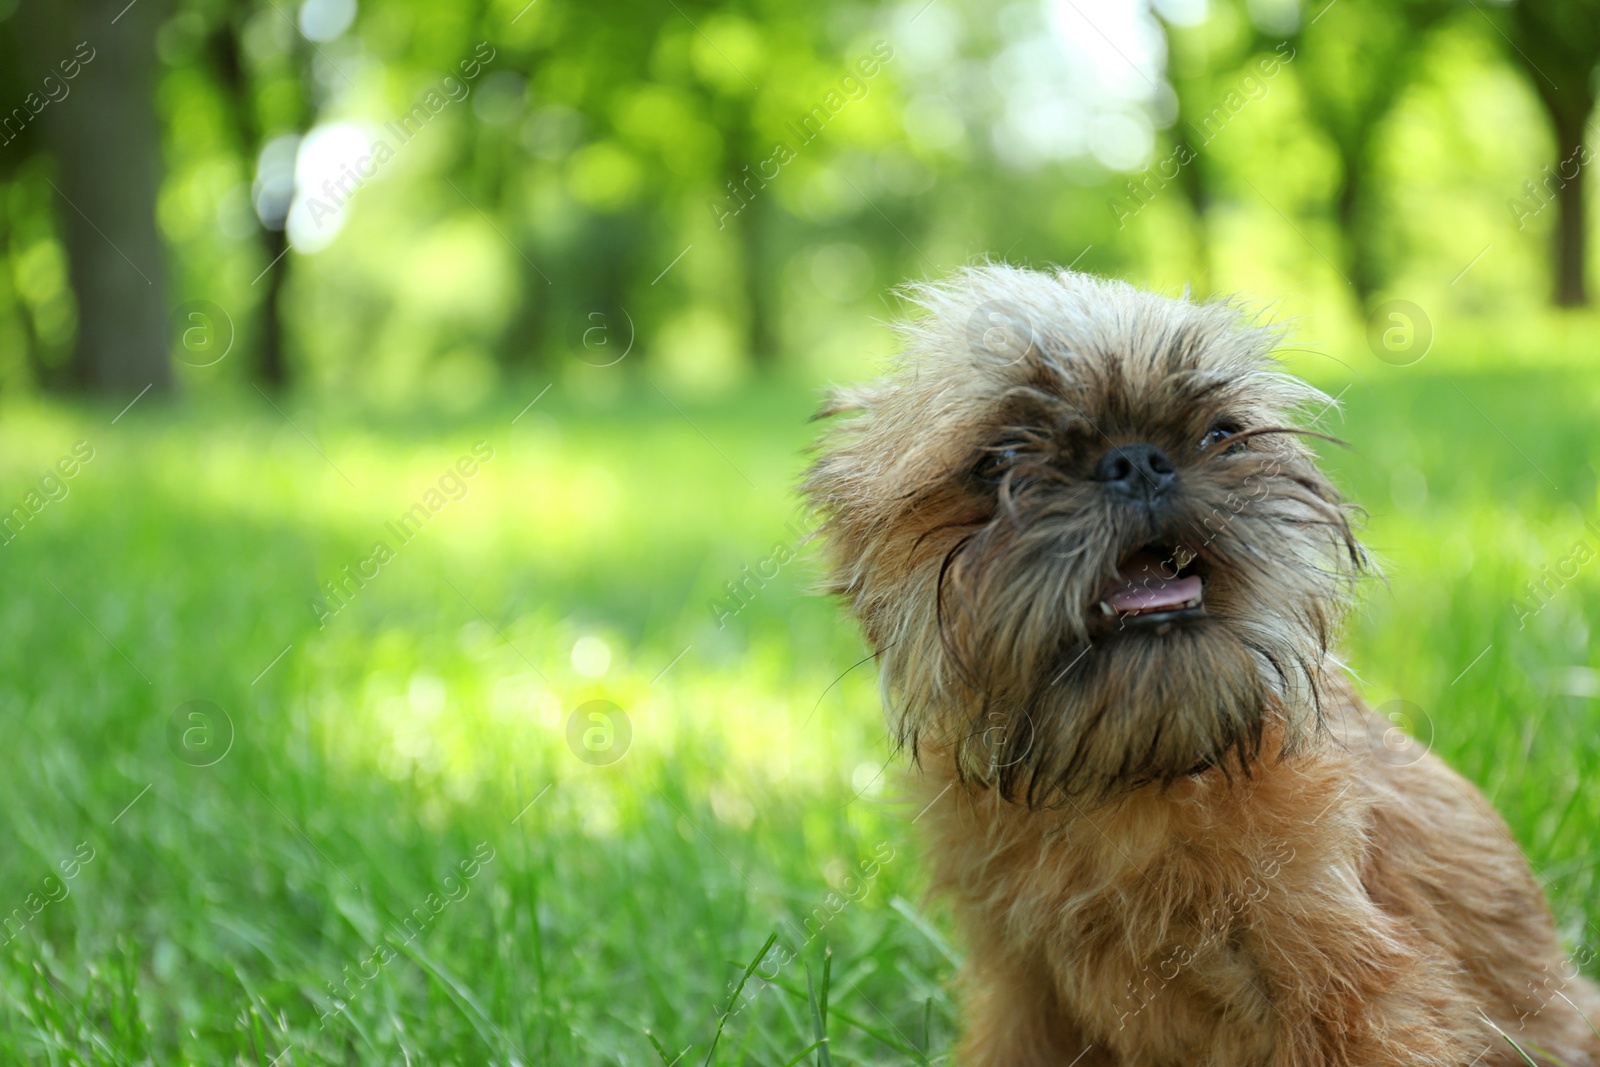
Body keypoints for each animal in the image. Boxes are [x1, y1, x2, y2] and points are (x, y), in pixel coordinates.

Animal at [806, 262, 1600, 1062]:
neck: (1128, 779)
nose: (1137, 460)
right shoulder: (1024, 997)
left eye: (1222, 433)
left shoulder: (1361, 995)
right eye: (1000, 458)